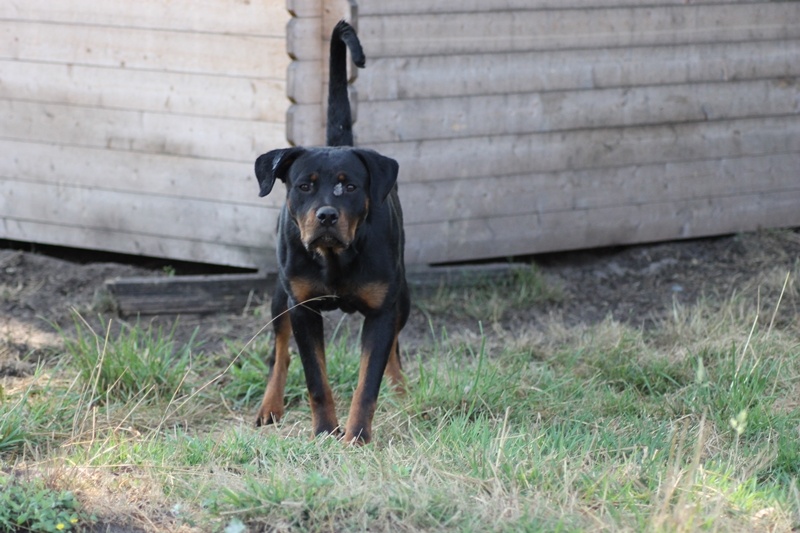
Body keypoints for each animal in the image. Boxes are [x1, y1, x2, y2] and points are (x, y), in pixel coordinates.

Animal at [253, 21, 410, 444]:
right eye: (304, 185)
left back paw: (402, 392)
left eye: (350, 186)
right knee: (279, 351)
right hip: (280, 296)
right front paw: (325, 431)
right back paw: (269, 407)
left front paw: (357, 436)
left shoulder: (382, 308)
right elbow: (315, 379)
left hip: (403, 297)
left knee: (395, 347)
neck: (335, 258)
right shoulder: (303, 307)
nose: (326, 215)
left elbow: (369, 379)